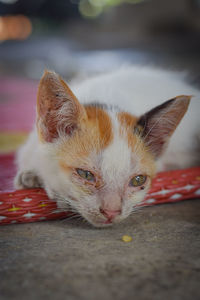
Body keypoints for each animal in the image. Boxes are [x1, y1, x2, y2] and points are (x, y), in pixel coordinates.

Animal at [14, 67, 200, 227]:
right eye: (85, 174)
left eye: (138, 180)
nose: (111, 212)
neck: (107, 102)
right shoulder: (30, 144)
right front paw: (30, 175)